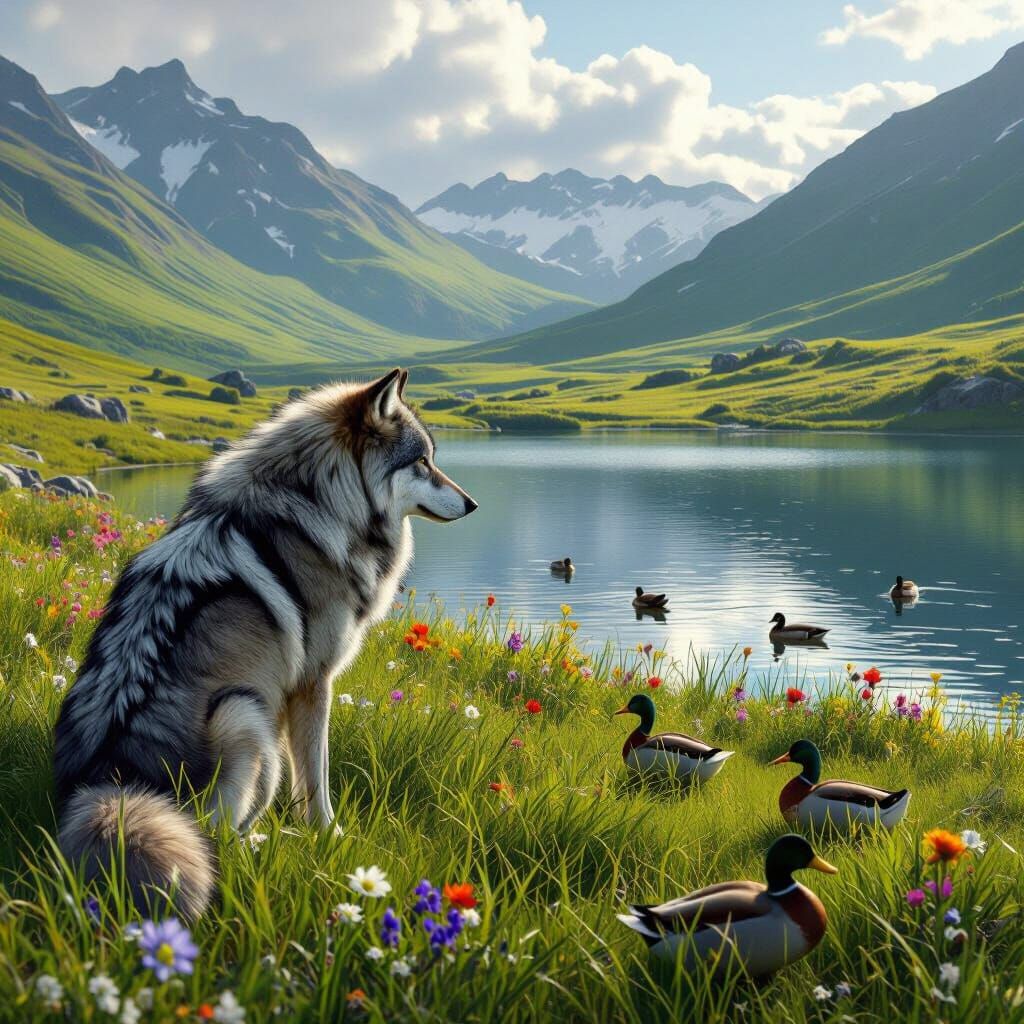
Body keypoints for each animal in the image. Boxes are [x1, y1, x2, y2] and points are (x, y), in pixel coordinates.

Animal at [53, 369, 476, 917]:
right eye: (422, 461)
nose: (472, 503)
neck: (321, 501)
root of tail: (112, 782)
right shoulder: (314, 683)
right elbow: (315, 778)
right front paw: (328, 837)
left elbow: (305, 776)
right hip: (243, 717)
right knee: (215, 837)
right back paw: (263, 845)